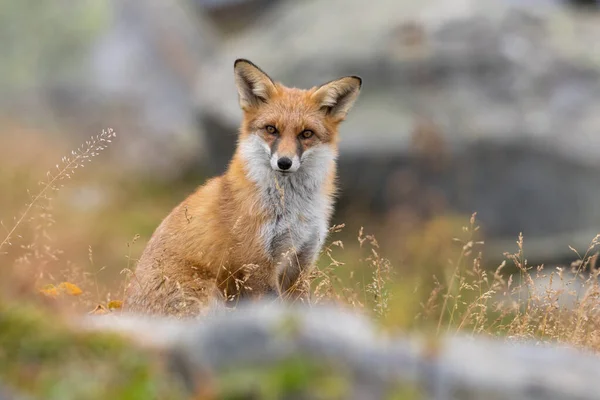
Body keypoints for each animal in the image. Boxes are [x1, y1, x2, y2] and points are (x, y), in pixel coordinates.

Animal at [124, 58, 360, 316]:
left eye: (306, 134)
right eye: (271, 129)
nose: (284, 162)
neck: (293, 211)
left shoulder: (300, 263)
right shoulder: (256, 264)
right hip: (206, 293)